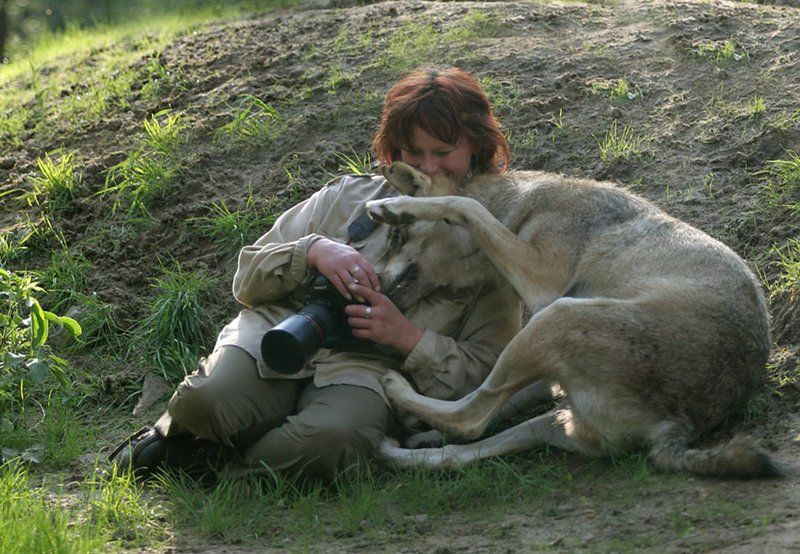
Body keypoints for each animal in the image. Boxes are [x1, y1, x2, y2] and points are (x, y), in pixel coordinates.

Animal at [368, 161, 780, 478]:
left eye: (396, 237)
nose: (372, 279)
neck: (520, 206)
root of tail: (677, 427)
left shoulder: (543, 281)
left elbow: (463, 202)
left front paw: (392, 204)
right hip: (555, 404)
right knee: (463, 446)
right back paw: (398, 448)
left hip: (555, 317)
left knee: (471, 417)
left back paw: (399, 395)